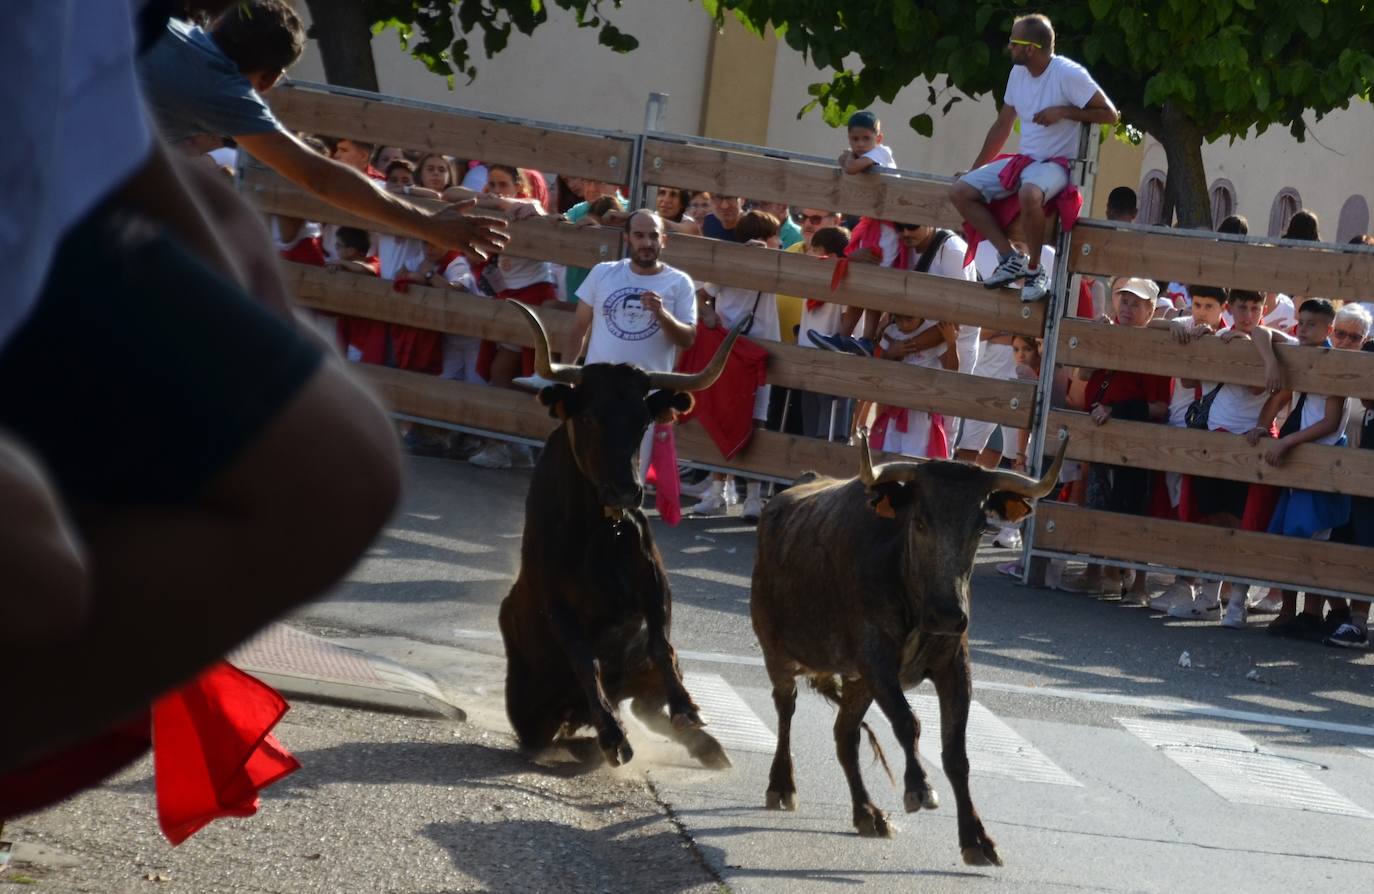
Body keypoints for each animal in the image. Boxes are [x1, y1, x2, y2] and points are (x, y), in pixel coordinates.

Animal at [500, 300, 747, 769]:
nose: (626, 491)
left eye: (643, 420)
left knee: (652, 706)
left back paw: (708, 746)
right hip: (531, 717)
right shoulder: (557, 605)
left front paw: (687, 708)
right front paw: (614, 737)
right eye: (589, 417)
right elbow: (586, 662)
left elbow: (661, 646)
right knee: (564, 728)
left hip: (639, 684)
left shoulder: (654, 585)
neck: (602, 530)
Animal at [752, 433, 1060, 867]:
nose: (948, 615)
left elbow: (956, 753)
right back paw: (781, 785)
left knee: (845, 734)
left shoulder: (953, 667)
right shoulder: (876, 660)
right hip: (777, 652)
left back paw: (867, 812)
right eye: (919, 521)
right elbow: (907, 722)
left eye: (981, 526)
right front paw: (919, 787)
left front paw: (976, 838)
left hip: (857, 682)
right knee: (786, 708)